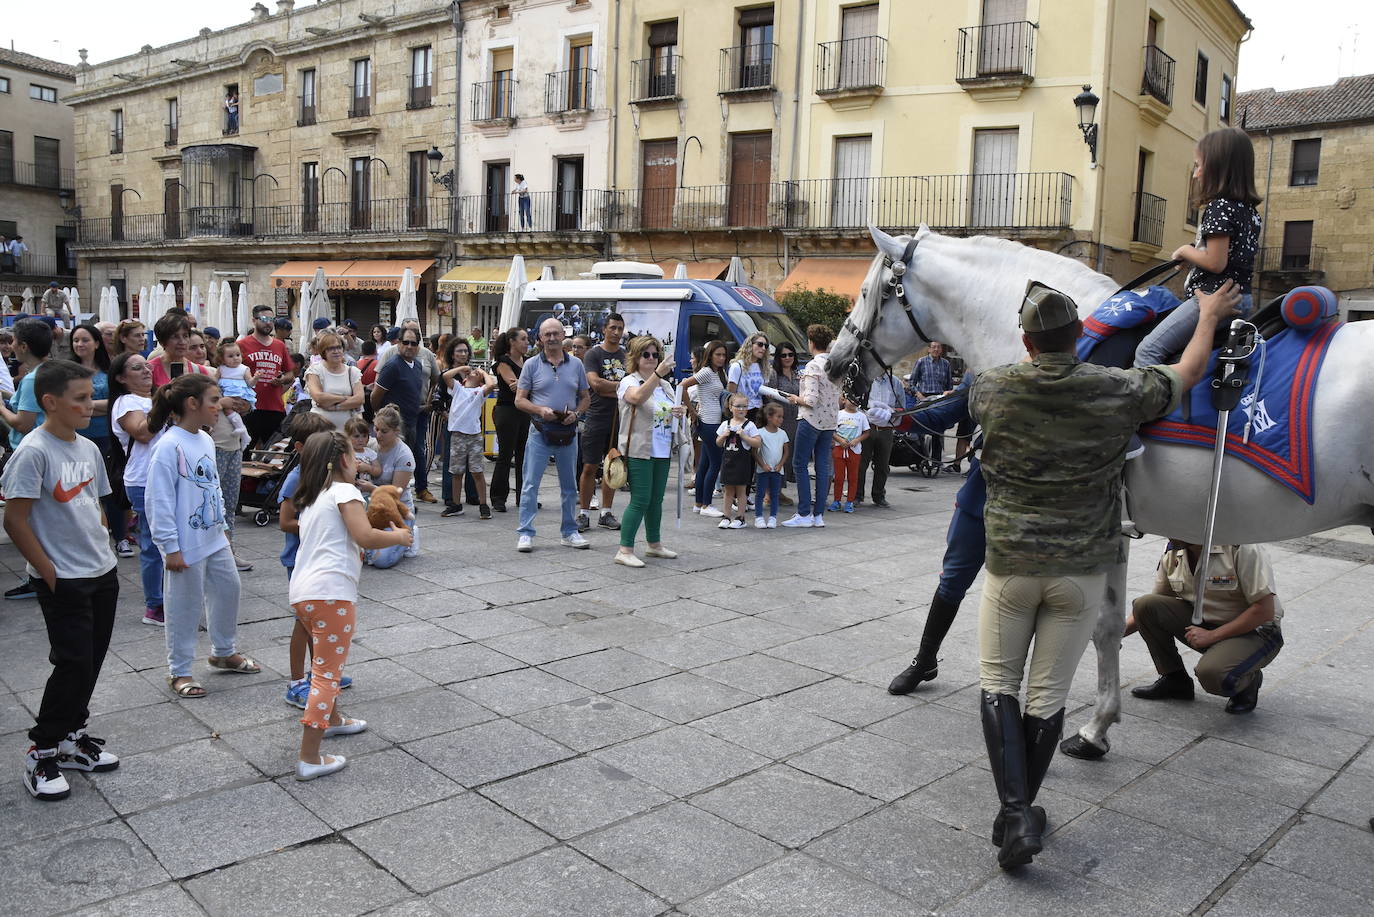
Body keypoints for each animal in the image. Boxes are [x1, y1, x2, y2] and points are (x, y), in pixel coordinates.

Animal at [824, 224, 1374, 758]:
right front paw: (1097, 726)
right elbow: (1107, 625)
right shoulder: (1113, 528)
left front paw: (1089, 729)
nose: (833, 364)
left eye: (867, 292)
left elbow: (1096, 625)